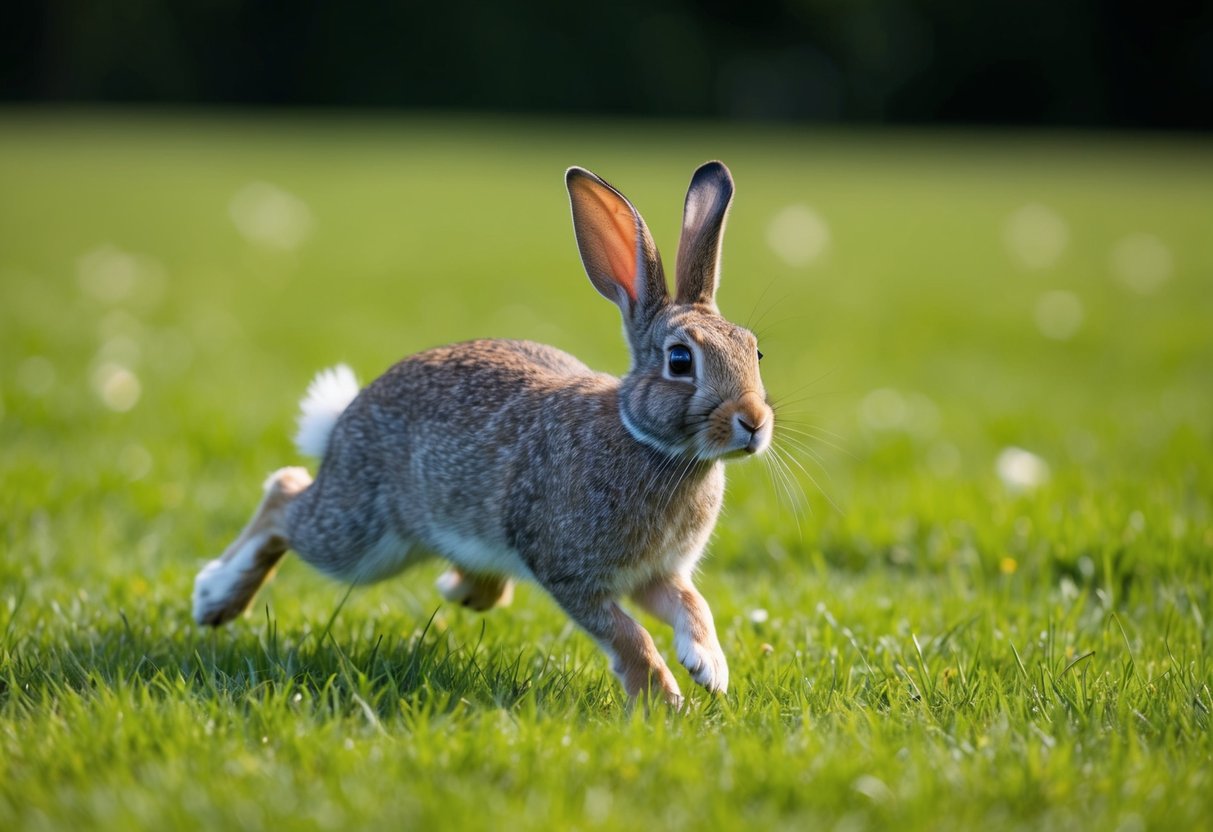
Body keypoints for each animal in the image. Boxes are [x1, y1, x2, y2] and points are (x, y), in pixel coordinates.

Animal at [192, 161, 774, 707]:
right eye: (680, 360)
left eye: (756, 351)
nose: (753, 421)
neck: (650, 443)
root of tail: (343, 421)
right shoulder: (570, 573)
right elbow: (628, 635)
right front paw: (663, 697)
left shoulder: (660, 575)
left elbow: (693, 606)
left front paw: (710, 668)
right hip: (359, 533)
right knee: (285, 498)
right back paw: (214, 597)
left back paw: (461, 586)